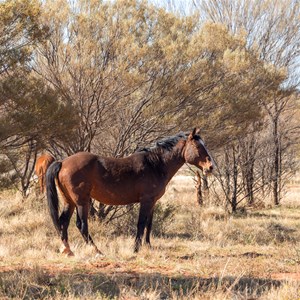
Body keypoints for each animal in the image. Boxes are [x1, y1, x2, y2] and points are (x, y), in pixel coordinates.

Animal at [45, 127, 213, 256]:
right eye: (198, 147)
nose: (210, 167)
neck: (155, 164)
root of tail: (62, 162)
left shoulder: (152, 202)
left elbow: (149, 224)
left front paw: (148, 246)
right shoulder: (146, 201)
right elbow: (141, 224)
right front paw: (136, 249)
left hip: (69, 201)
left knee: (63, 222)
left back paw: (67, 250)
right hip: (82, 201)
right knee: (81, 225)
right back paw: (97, 251)